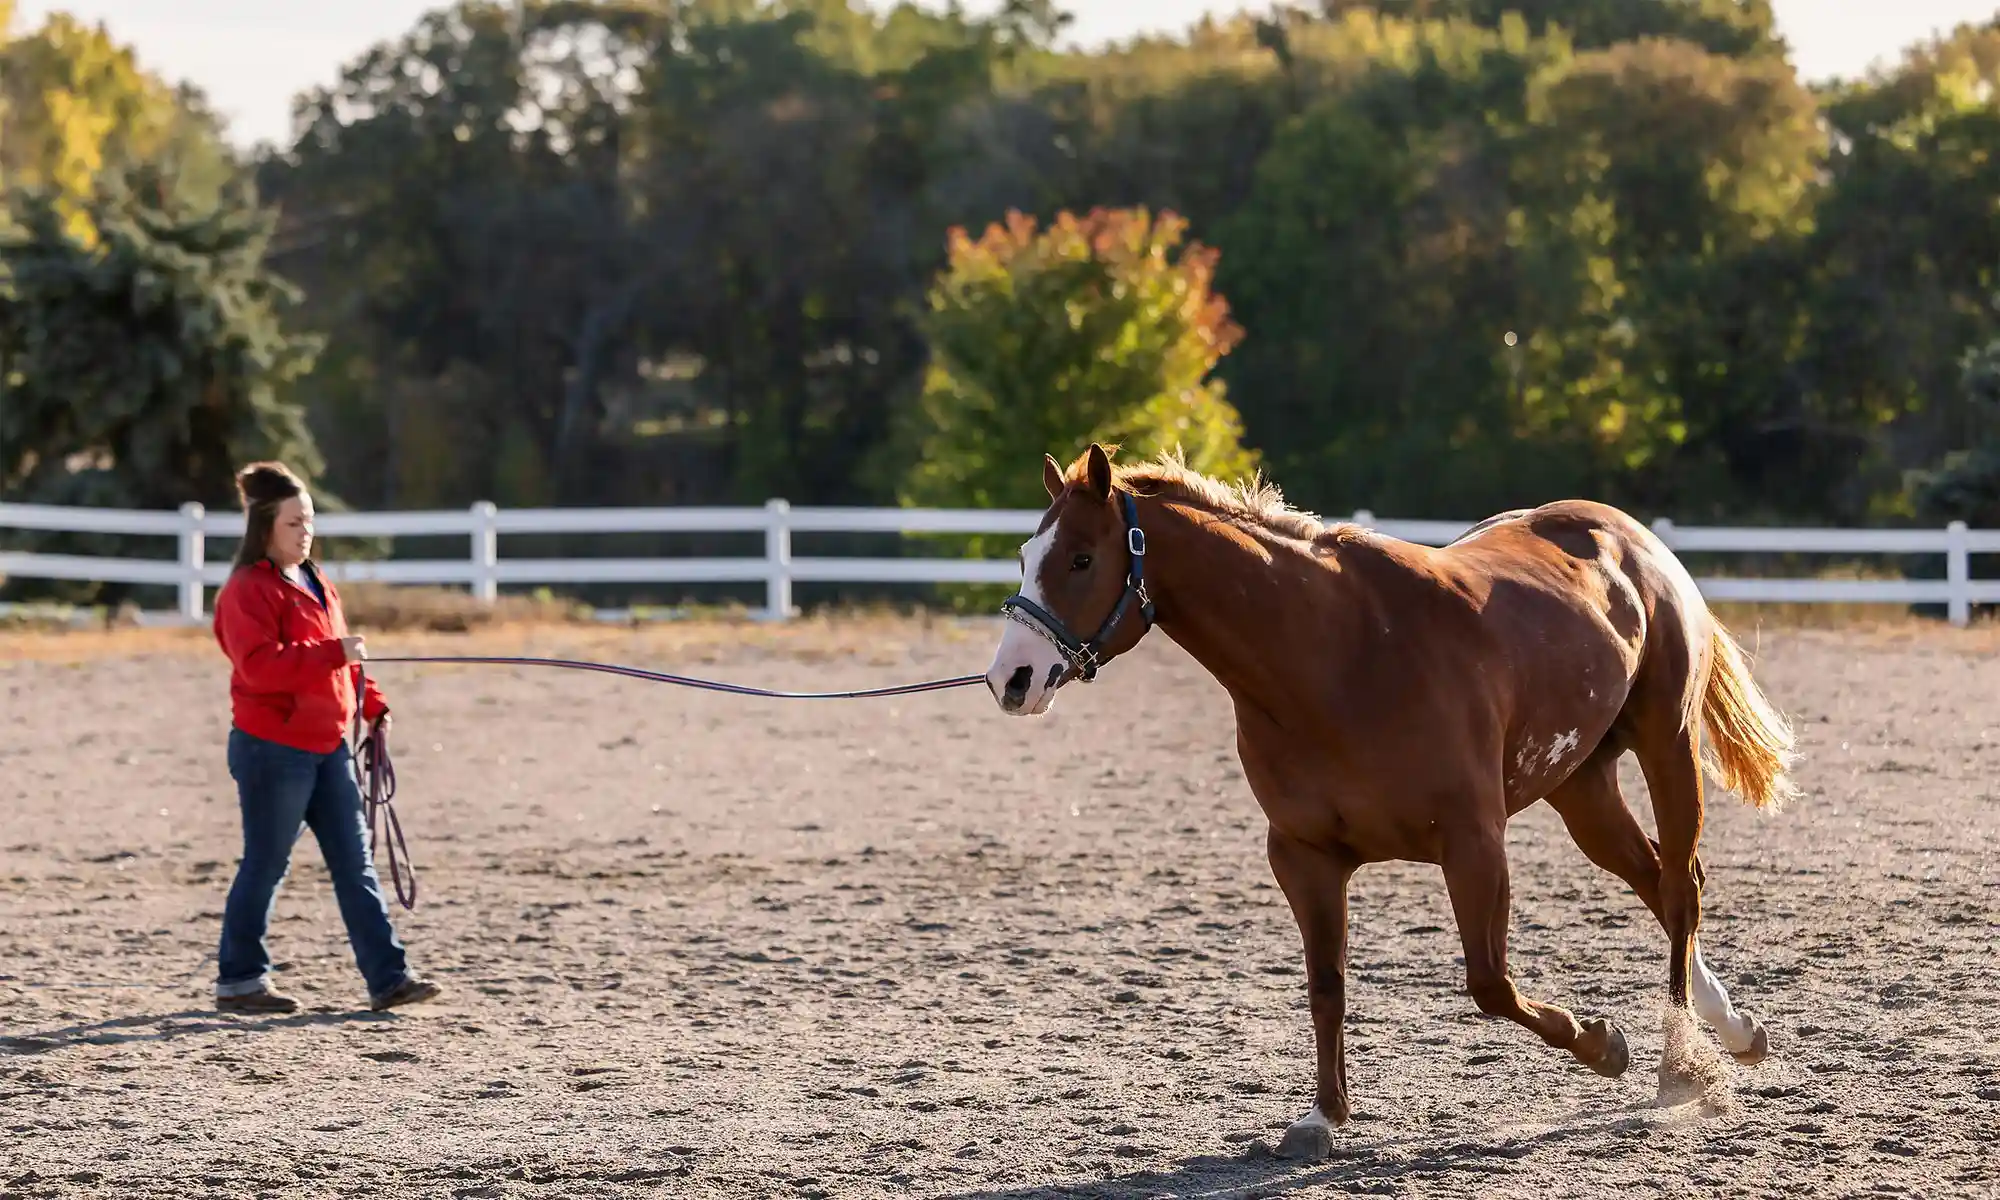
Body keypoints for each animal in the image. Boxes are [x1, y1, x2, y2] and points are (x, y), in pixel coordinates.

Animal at [983, 442, 1797, 1161]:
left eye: (1081, 559)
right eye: (1026, 557)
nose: (1012, 679)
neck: (1339, 658)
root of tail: (1632, 539)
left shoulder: (1474, 843)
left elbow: (1490, 984)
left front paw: (1603, 1046)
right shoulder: (1304, 857)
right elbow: (1327, 985)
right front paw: (1322, 1118)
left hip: (1668, 746)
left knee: (1679, 886)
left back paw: (1678, 1067)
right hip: (1582, 787)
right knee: (1660, 882)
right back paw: (1734, 1030)